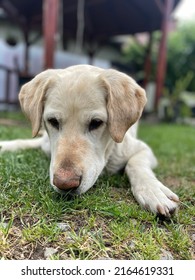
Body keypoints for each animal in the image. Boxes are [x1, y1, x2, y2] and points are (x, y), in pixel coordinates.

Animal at [0, 65, 180, 217]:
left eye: (96, 123)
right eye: (53, 121)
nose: (65, 183)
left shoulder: (142, 149)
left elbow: (135, 164)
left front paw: (153, 191)